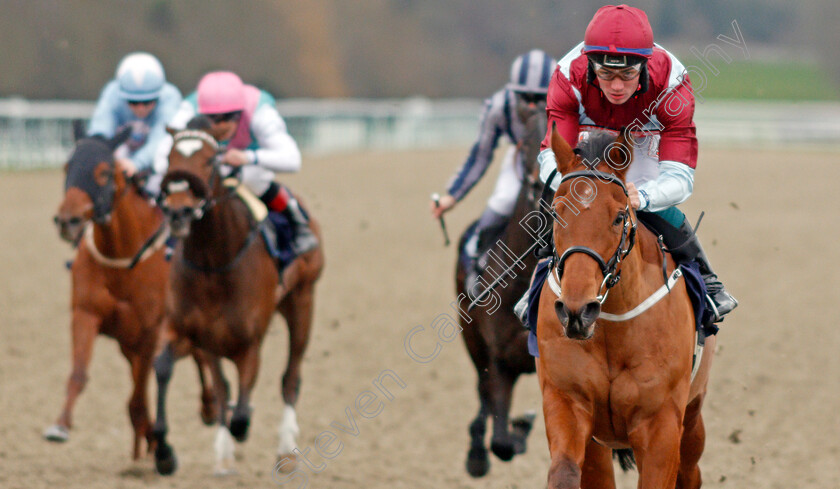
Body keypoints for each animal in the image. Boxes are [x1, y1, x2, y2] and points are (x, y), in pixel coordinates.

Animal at [45, 124, 217, 460]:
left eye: (103, 172)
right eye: (67, 167)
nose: (68, 220)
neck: (122, 258)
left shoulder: (151, 329)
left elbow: (138, 394)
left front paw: (158, 445)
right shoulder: (86, 315)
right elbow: (80, 374)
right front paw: (60, 425)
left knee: (200, 357)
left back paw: (210, 406)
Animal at [153, 120, 324, 474]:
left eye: (209, 160)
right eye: (170, 158)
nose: (178, 212)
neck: (212, 263)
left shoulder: (249, 343)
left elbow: (243, 413)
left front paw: (242, 427)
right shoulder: (189, 332)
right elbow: (164, 368)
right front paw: (164, 452)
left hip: (302, 302)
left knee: (291, 378)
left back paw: (286, 449)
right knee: (223, 387)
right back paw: (223, 453)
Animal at [536, 129, 712, 488]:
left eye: (619, 216)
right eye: (558, 213)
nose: (578, 311)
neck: (611, 324)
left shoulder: (661, 424)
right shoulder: (567, 401)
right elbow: (564, 472)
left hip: (692, 415)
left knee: (691, 472)